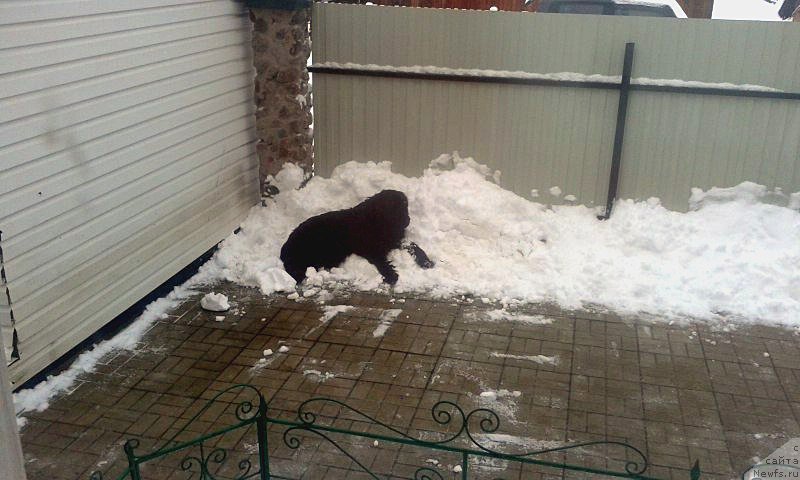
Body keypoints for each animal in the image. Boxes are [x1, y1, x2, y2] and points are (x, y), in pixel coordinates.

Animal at [280, 190, 434, 284]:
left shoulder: (396, 240)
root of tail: (286, 245)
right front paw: (391, 275)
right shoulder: (371, 249)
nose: (408, 221)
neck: (377, 222)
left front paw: (426, 261)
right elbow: (381, 261)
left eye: (406, 207)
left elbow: (414, 246)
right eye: (396, 209)